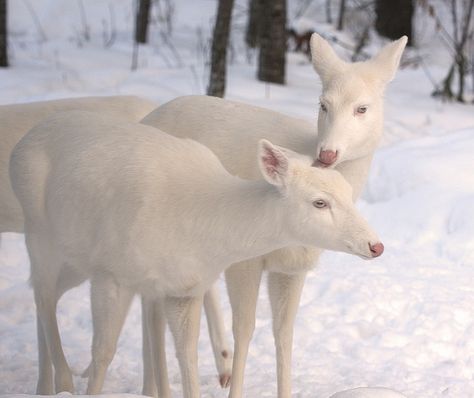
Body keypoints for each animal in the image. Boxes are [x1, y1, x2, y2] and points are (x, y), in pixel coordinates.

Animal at [9, 110, 384, 398]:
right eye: (319, 202)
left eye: (348, 192)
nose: (376, 245)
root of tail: (21, 144)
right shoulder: (111, 272)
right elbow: (103, 352)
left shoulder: (183, 288)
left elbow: (186, 355)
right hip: (40, 233)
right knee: (43, 296)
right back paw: (62, 381)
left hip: (75, 258)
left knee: (44, 294)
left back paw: (46, 384)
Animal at [139, 35, 406, 398]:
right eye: (323, 104)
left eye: (362, 108)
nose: (327, 154)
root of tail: (146, 118)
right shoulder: (245, 259)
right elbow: (246, 328)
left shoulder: (293, 266)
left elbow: (284, 332)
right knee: (149, 307)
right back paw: (154, 385)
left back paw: (215, 365)